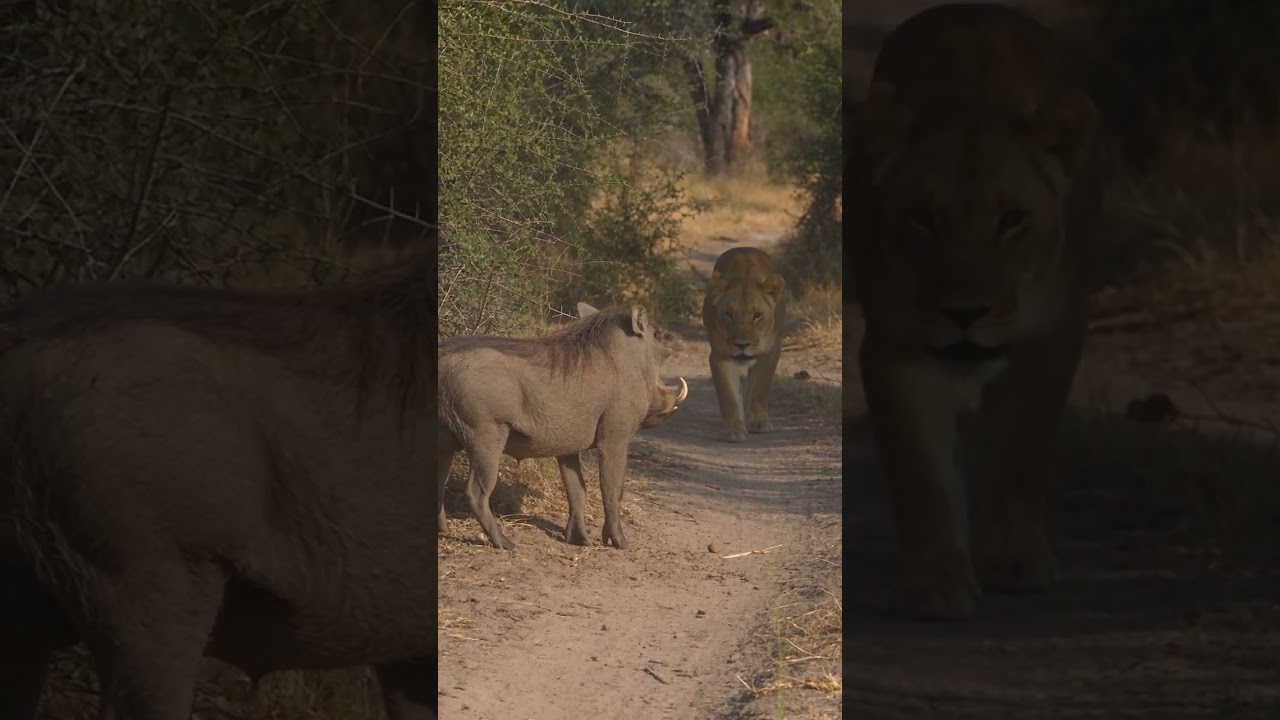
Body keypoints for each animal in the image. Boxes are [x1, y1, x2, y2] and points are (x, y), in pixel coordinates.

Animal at [438, 302, 687, 551]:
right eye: (656, 335)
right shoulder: (615, 438)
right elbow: (612, 489)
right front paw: (620, 542)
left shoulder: (567, 447)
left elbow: (577, 490)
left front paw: (580, 539)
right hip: (485, 436)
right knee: (476, 493)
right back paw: (506, 544)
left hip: (444, 442)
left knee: (438, 482)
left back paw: (444, 531)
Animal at [702, 246, 787, 443]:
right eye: (728, 314)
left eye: (757, 315)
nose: (742, 345)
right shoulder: (720, 355)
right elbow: (728, 394)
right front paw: (733, 429)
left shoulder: (770, 352)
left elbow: (761, 387)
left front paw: (757, 421)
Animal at [846, 3, 1101, 621]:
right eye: (922, 218)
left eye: (1011, 220)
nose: (965, 313)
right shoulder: (896, 345)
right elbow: (921, 471)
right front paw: (935, 581)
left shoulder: (1053, 335)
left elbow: (1022, 448)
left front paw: (1015, 560)